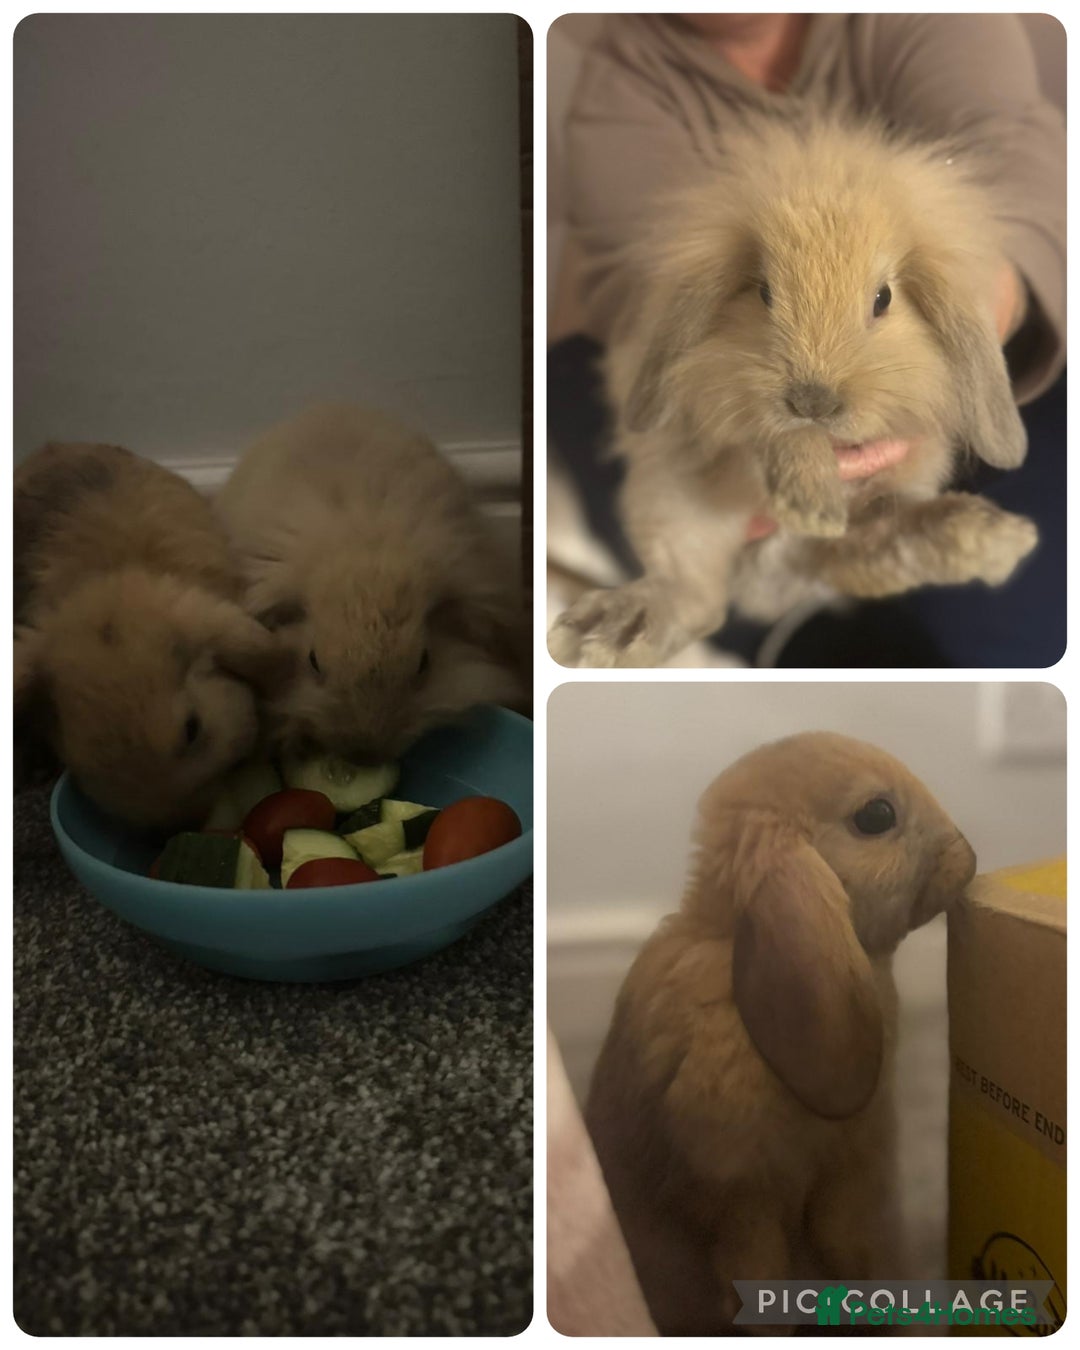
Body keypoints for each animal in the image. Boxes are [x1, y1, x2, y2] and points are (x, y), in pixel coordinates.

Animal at [549, 115, 1039, 667]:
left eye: (883, 298)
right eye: (764, 293)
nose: (812, 401)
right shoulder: (717, 400)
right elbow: (772, 432)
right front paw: (811, 501)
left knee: (861, 548)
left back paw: (988, 538)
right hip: (674, 502)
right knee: (696, 597)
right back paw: (607, 634)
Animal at [584, 732, 977, 1335]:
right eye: (877, 815)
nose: (969, 857)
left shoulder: (849, 1166)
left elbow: (845, 1239)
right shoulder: (740, 1195)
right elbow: (760, 1271)